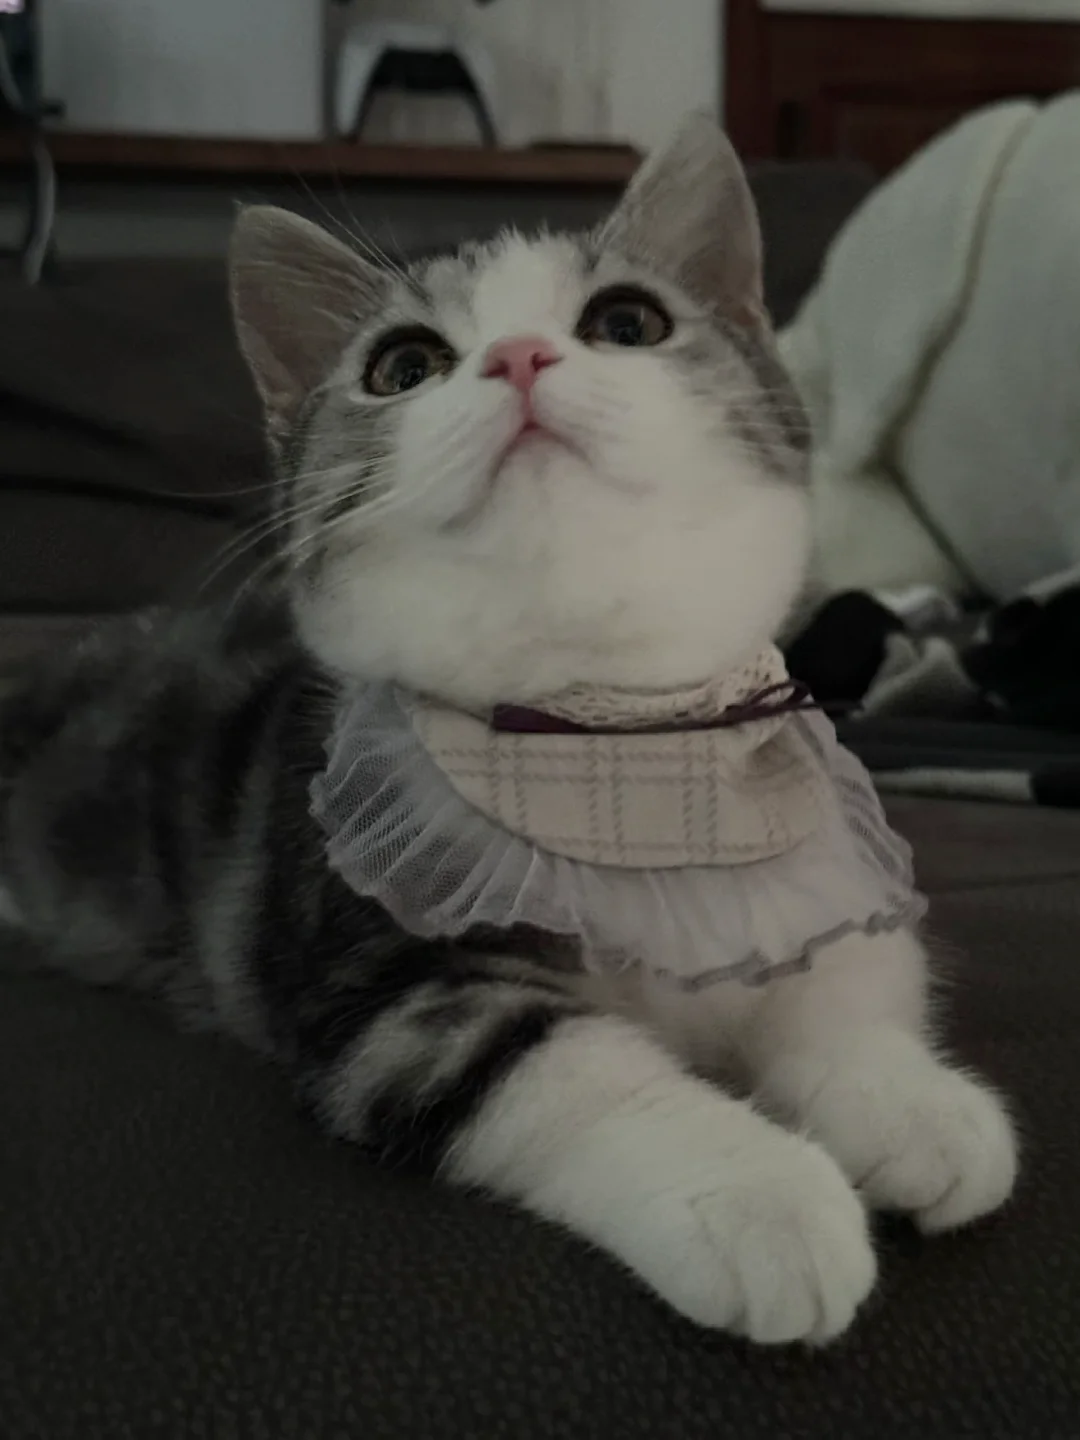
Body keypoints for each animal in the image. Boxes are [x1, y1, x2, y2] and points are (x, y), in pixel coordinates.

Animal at [0, 114, 1016, 1346]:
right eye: (403, 367)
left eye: (627, 322)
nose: (521, 358)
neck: (615, 738)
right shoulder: (378, 987)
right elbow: (560, 1066)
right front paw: (760, 1194)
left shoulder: (798, 847)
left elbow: (836, 966)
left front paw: (905, 1099)